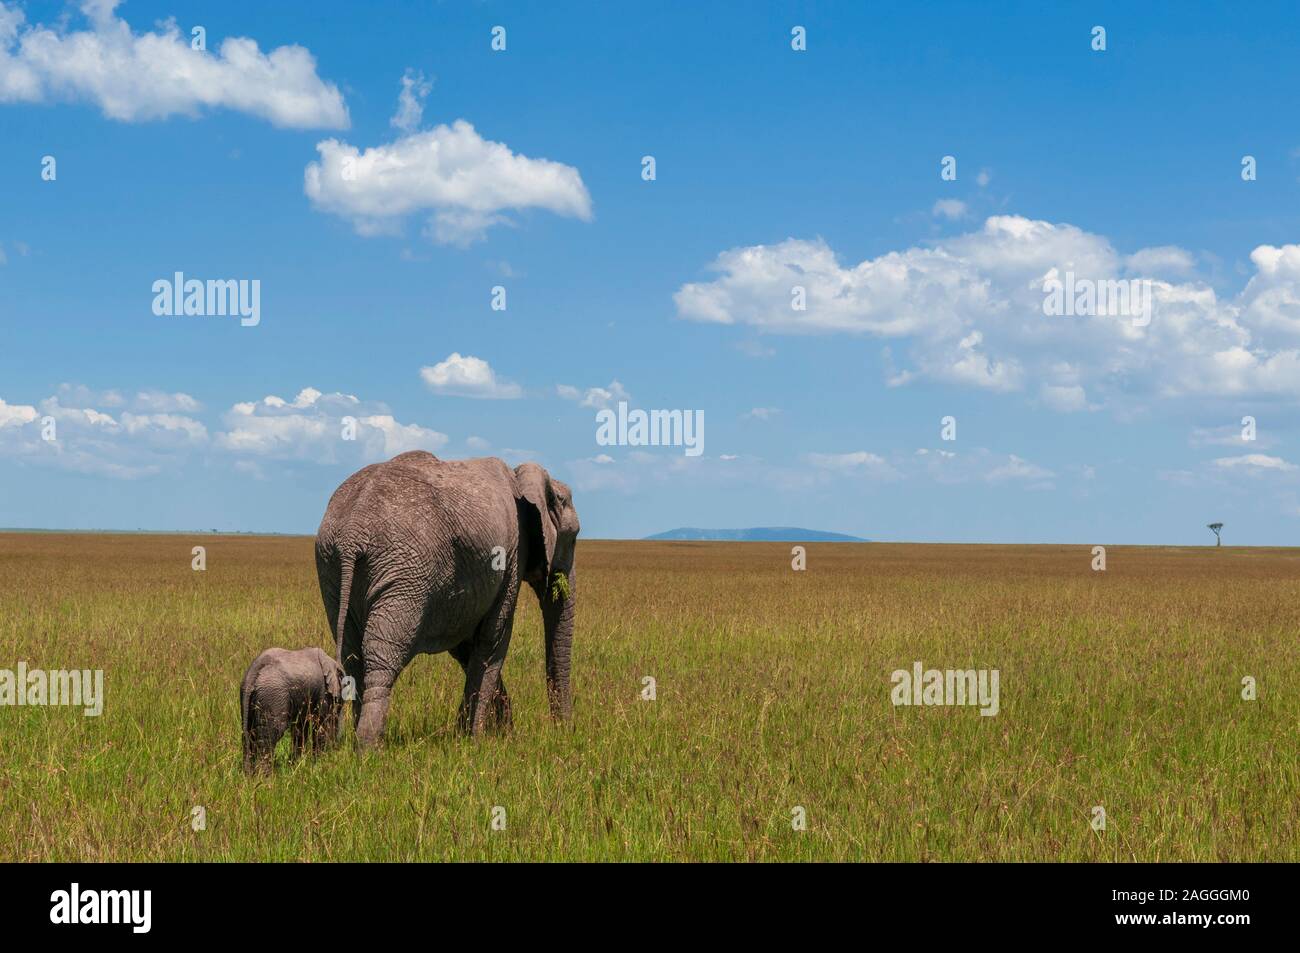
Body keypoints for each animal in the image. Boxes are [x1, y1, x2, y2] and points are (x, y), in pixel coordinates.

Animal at [314, 452, 579, 747]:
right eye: (574, 538)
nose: (563, 731)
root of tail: (352, 533)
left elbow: (466, 645)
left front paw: (485, 733)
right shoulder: (512, 555)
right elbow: (493, 639)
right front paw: (475, 740)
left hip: (332, 568)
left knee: (353, 655)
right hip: (404, 573)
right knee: (382, 656)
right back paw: (368, 748)